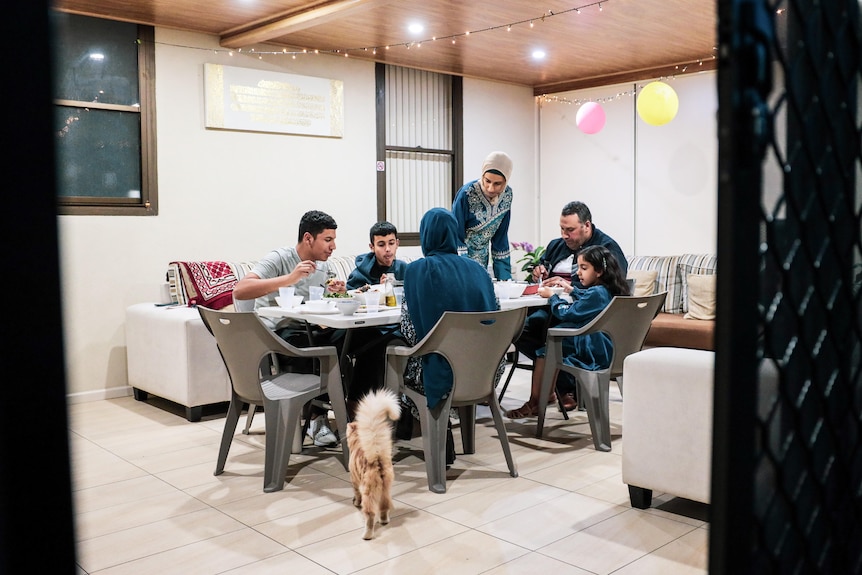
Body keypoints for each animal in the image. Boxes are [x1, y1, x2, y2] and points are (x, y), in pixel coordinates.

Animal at [348, 388, 402, 540]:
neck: (357, 441)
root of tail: (377, 458)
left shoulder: (354, 480)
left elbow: (356, 495)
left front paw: (355, 502)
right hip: (385, 491)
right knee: (384, 508)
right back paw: (384, 521)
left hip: (369, 495)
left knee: (370, 516)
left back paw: (367, 535)